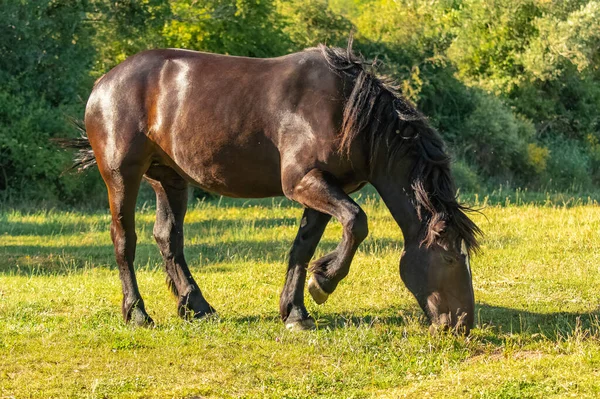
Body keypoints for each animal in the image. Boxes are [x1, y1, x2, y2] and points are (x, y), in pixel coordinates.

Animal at [61, 41, 482, 334]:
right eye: (449, 259)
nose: (461, 324)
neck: (345, 108)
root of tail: (104, 84)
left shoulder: (324, 188)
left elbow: (305, 246)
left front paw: (296, 310)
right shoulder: (304, 182)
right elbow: (356, 221)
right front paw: (323, 282)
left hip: (171, 180)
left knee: (168, 238)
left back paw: (196, 306)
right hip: (122, 176)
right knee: (124, 240)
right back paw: (137, 313)